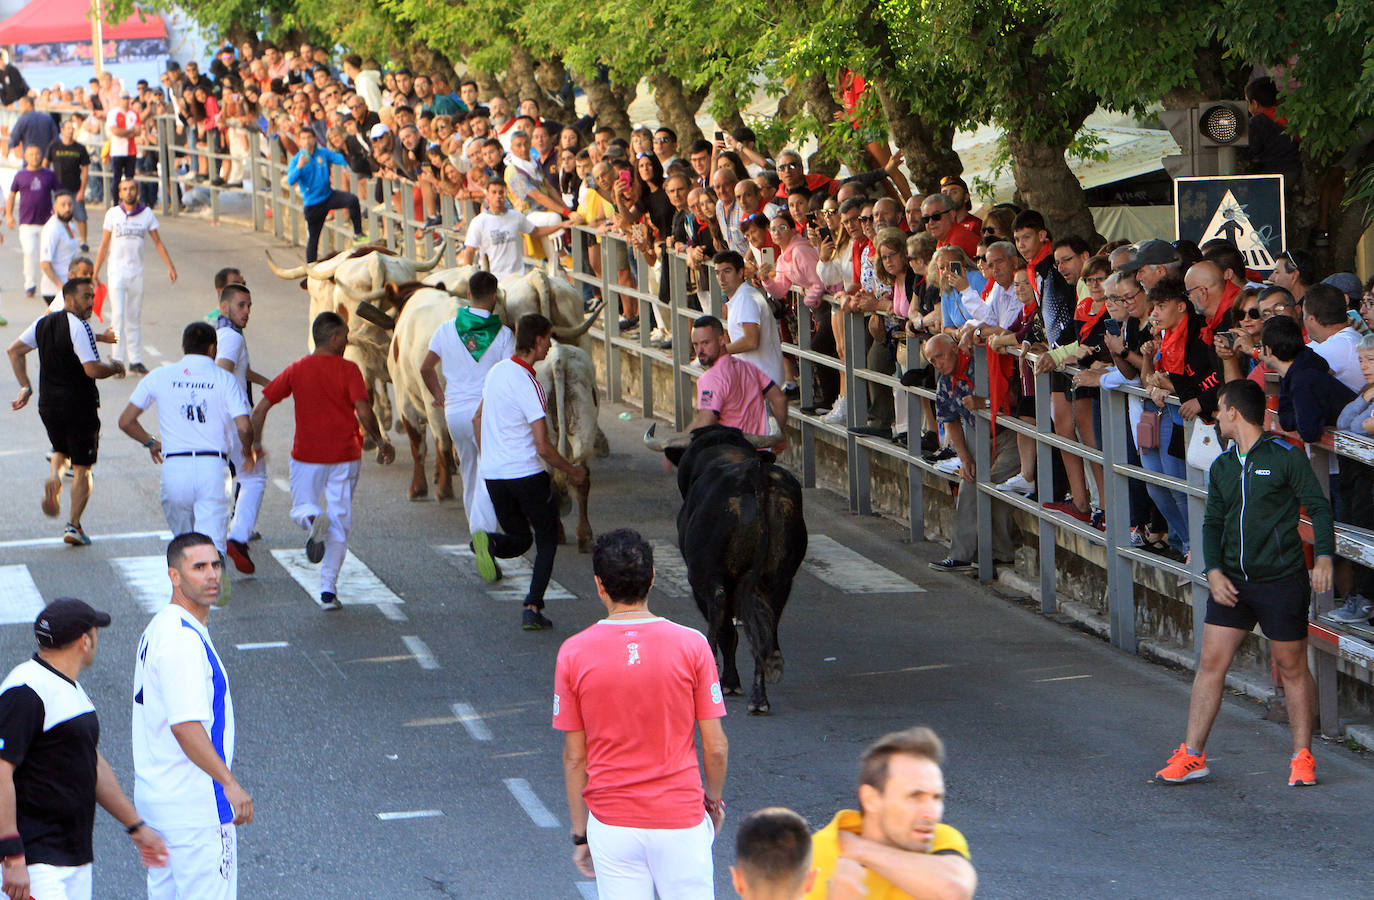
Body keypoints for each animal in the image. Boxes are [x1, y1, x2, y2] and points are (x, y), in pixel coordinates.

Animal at [665, 425, 802, 714]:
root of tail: (755, 474)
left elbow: (726, 629)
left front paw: (729, 681)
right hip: (779, 579)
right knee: (766, 628)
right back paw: (760, 696)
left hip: (708, 576)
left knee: (721, 617)